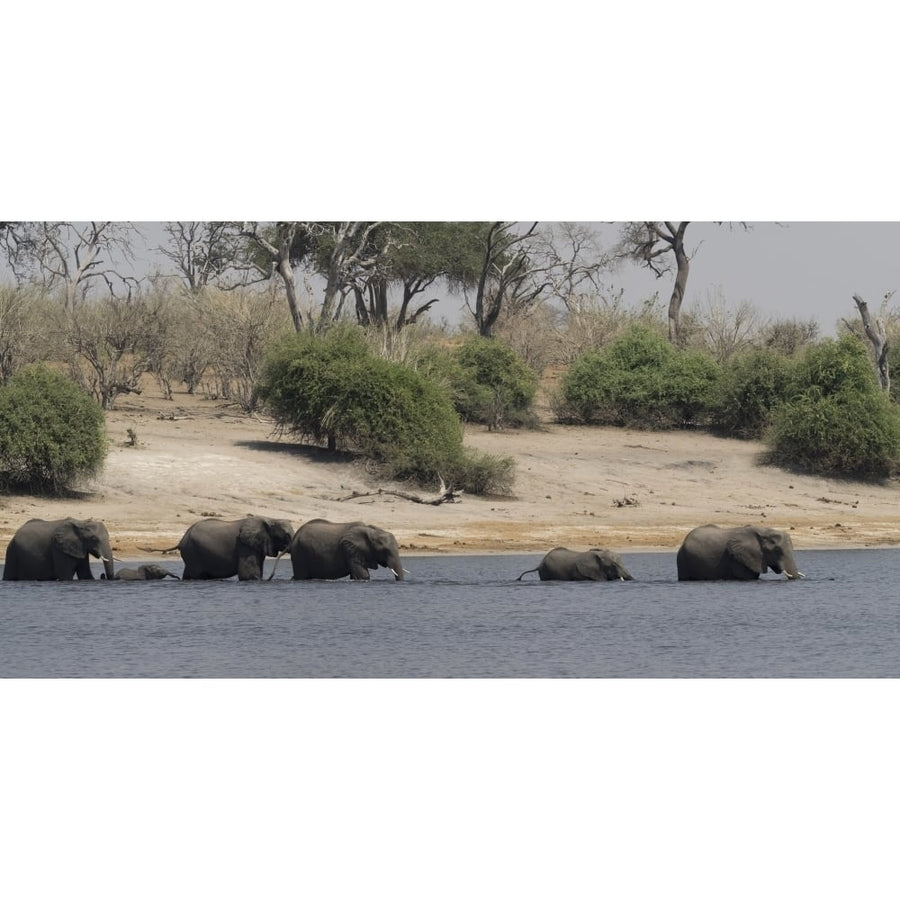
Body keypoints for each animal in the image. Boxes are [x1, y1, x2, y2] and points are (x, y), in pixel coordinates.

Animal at [163, 516, 298, 580]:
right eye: (286, 536)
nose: (271, 578)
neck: (270, 519)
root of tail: (181, 540)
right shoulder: (244, 545)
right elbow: (247, 575)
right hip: (192, 552)